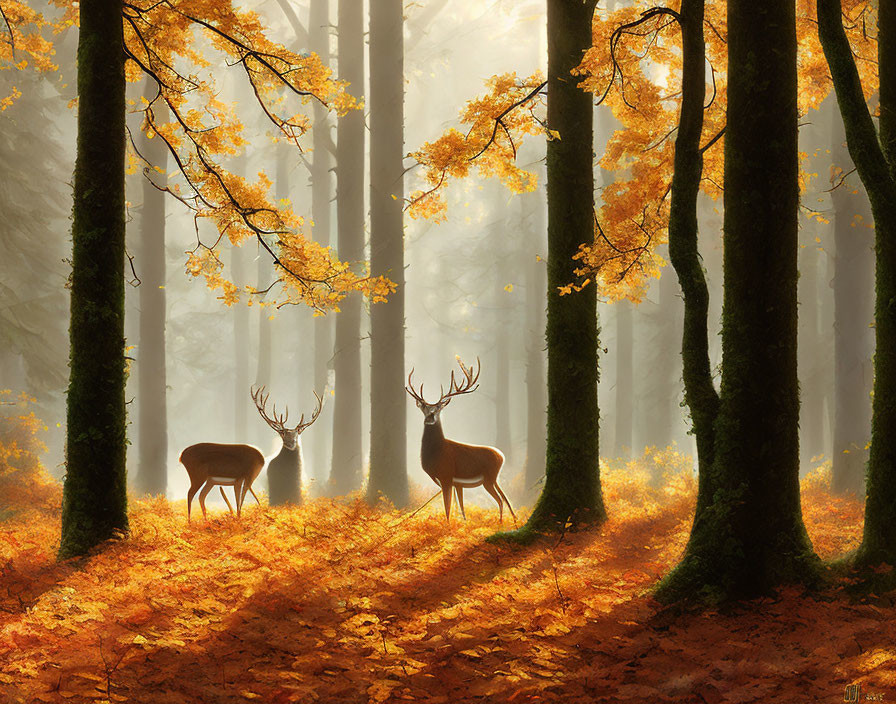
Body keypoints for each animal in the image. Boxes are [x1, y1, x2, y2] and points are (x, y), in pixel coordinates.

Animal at [406, 358, 520, 524]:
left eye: (438, 408)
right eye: (424, 408)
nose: (430, 418)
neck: (436, 453)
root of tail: (502, 456)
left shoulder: (446, 476)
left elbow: (448, 508)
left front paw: (448, 526)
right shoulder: (455, 483)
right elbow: (458, 507)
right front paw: (460, 524)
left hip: (489, 478)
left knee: (500, 499)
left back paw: (501, 522)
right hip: (493, 479)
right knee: (505, 497)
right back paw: (513, 519)